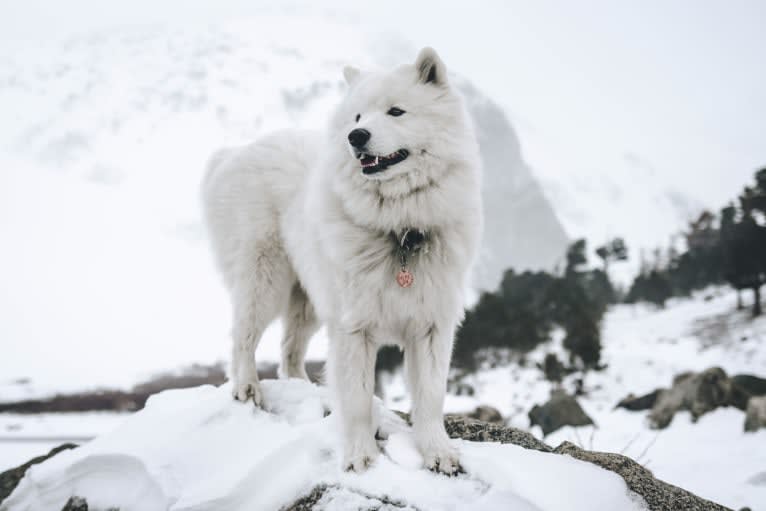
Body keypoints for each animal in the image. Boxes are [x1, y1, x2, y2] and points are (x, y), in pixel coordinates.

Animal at [201, 48, 484, 476]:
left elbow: (431, 397)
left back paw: (303, 389)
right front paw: (360, 457)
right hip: (265, 280)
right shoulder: (354, 329)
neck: (399, 230)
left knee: (289, 350)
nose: (356, 137)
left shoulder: (431, 326)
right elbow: (357, 400)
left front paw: (438, 453)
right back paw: (247, 388)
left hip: (310, 301)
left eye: (396, 111)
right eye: (357, 117)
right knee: (242, 337)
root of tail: (232, 153)